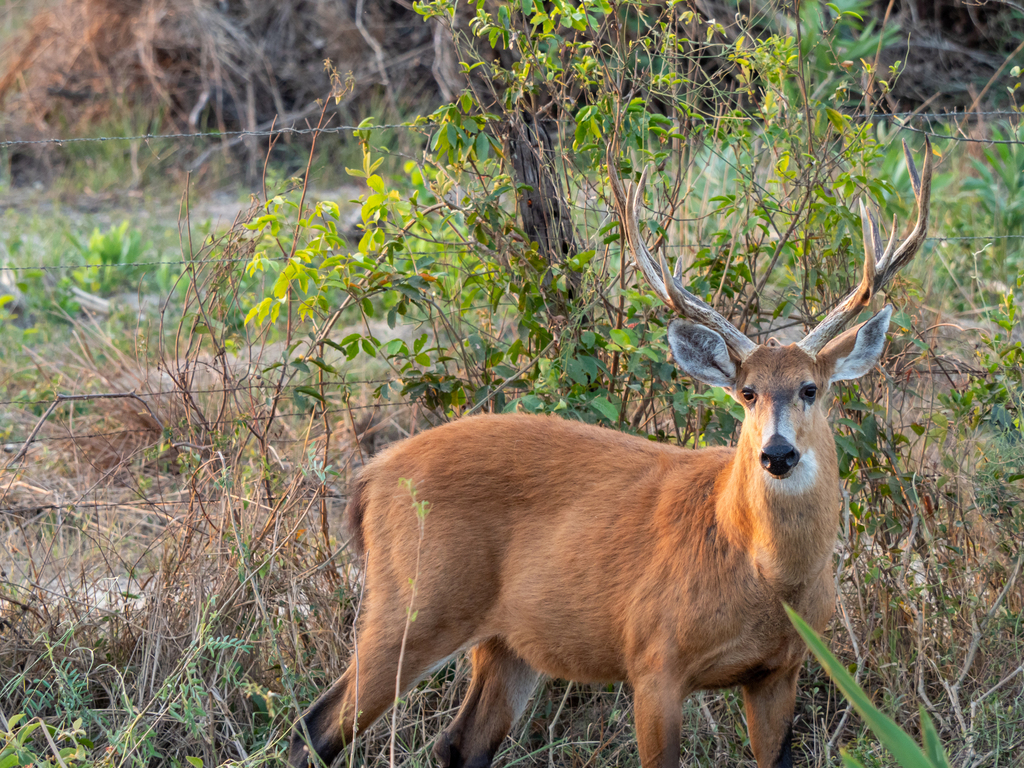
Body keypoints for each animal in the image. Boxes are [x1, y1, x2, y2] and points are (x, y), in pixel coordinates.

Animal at [288, 139, 932, 768]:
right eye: (747, 392)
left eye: (810, 388)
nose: (777, 453)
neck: (761, 570)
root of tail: (370, 476)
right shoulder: (653, 659)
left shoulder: (780, 670)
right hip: (413, 602)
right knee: (314, 728)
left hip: (508, 641)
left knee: (457, 745)